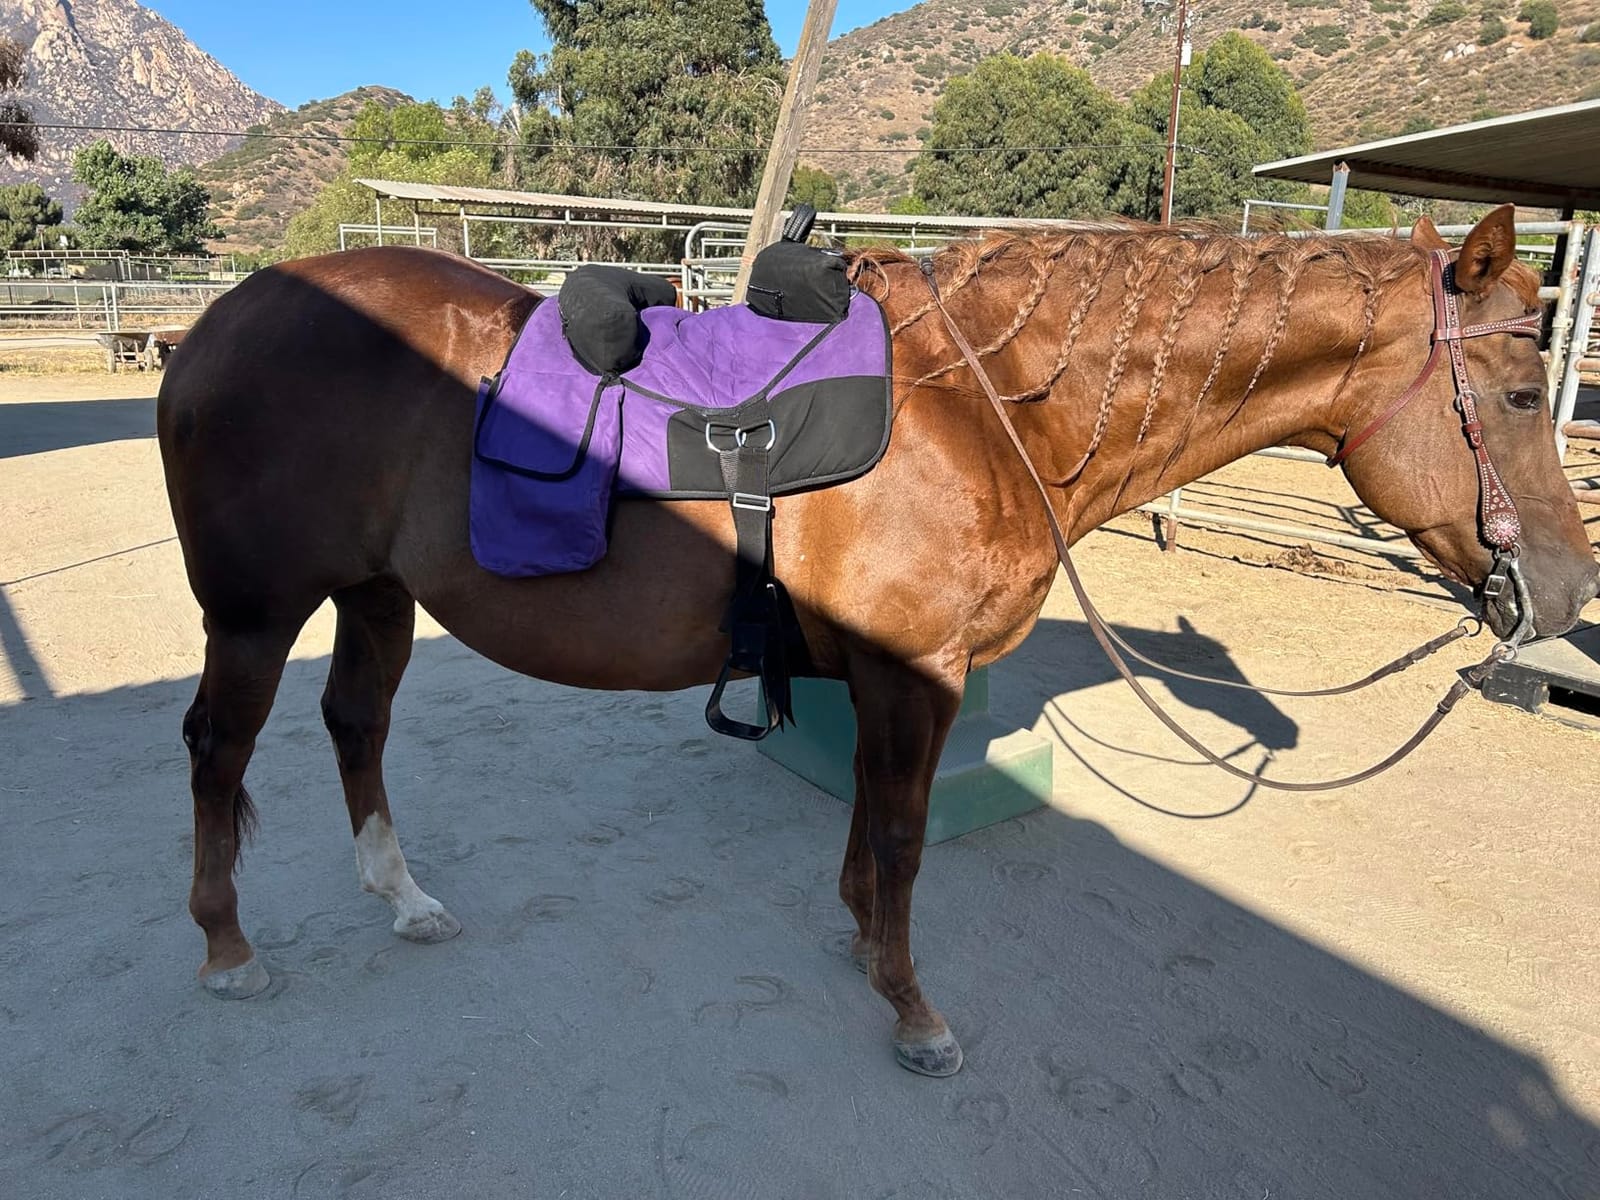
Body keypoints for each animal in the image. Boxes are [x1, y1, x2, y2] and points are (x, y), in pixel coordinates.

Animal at [157, 204, 1596, 1077]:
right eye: (1525, 390)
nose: (1569, 592)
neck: (984, 404)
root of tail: (223, 319)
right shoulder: (917, 679)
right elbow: (901, 841)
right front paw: (912, 1010)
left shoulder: (887, 680)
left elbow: (869, 830)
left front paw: (860, 949)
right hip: (255, 612)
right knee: (218, 752)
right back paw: (226, 953)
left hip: (372, 593)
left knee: (355, 725)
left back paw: (402, 901)